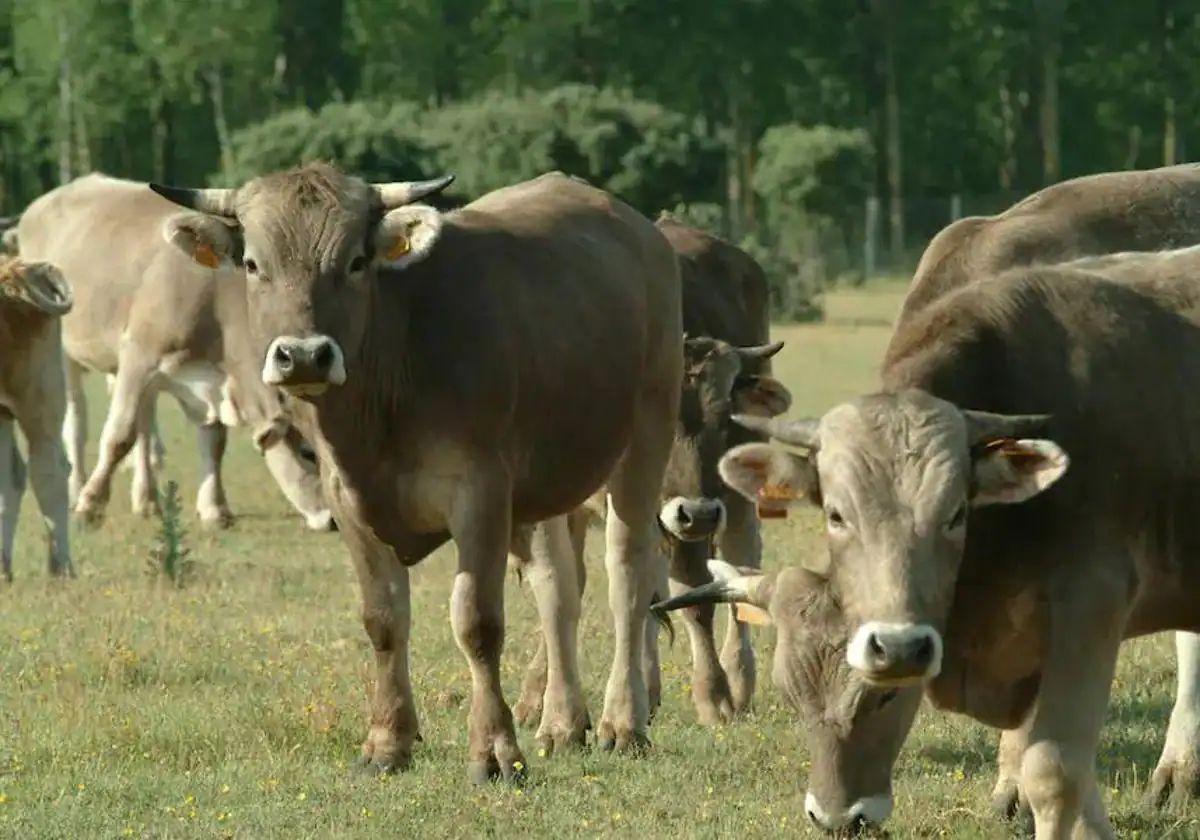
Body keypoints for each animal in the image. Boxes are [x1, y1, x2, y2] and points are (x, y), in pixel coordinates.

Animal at [15, 176, 333, 528]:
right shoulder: (138, 355)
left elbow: (213, 440)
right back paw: (76, 490)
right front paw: (90, 504)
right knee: (77, 421)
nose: (334, 520)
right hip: (63, 351)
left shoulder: (207, 376)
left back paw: (147, 499)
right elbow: (118, 436)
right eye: (308, 454)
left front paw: (214, 507)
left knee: (144, 425)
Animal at [147, 165, 686, 782]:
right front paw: (387, 743)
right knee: (559, 589)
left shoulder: (481, 495)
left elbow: (477, 623)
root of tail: (642, 232)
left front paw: (494, 750)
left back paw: (624, 721)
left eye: (355, 261)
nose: (304, 356)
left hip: (645, 437)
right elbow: (383, 619)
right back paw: (562, 723)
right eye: (256, 264)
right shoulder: (349, 503)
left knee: (629, 576)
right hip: (551, 482)